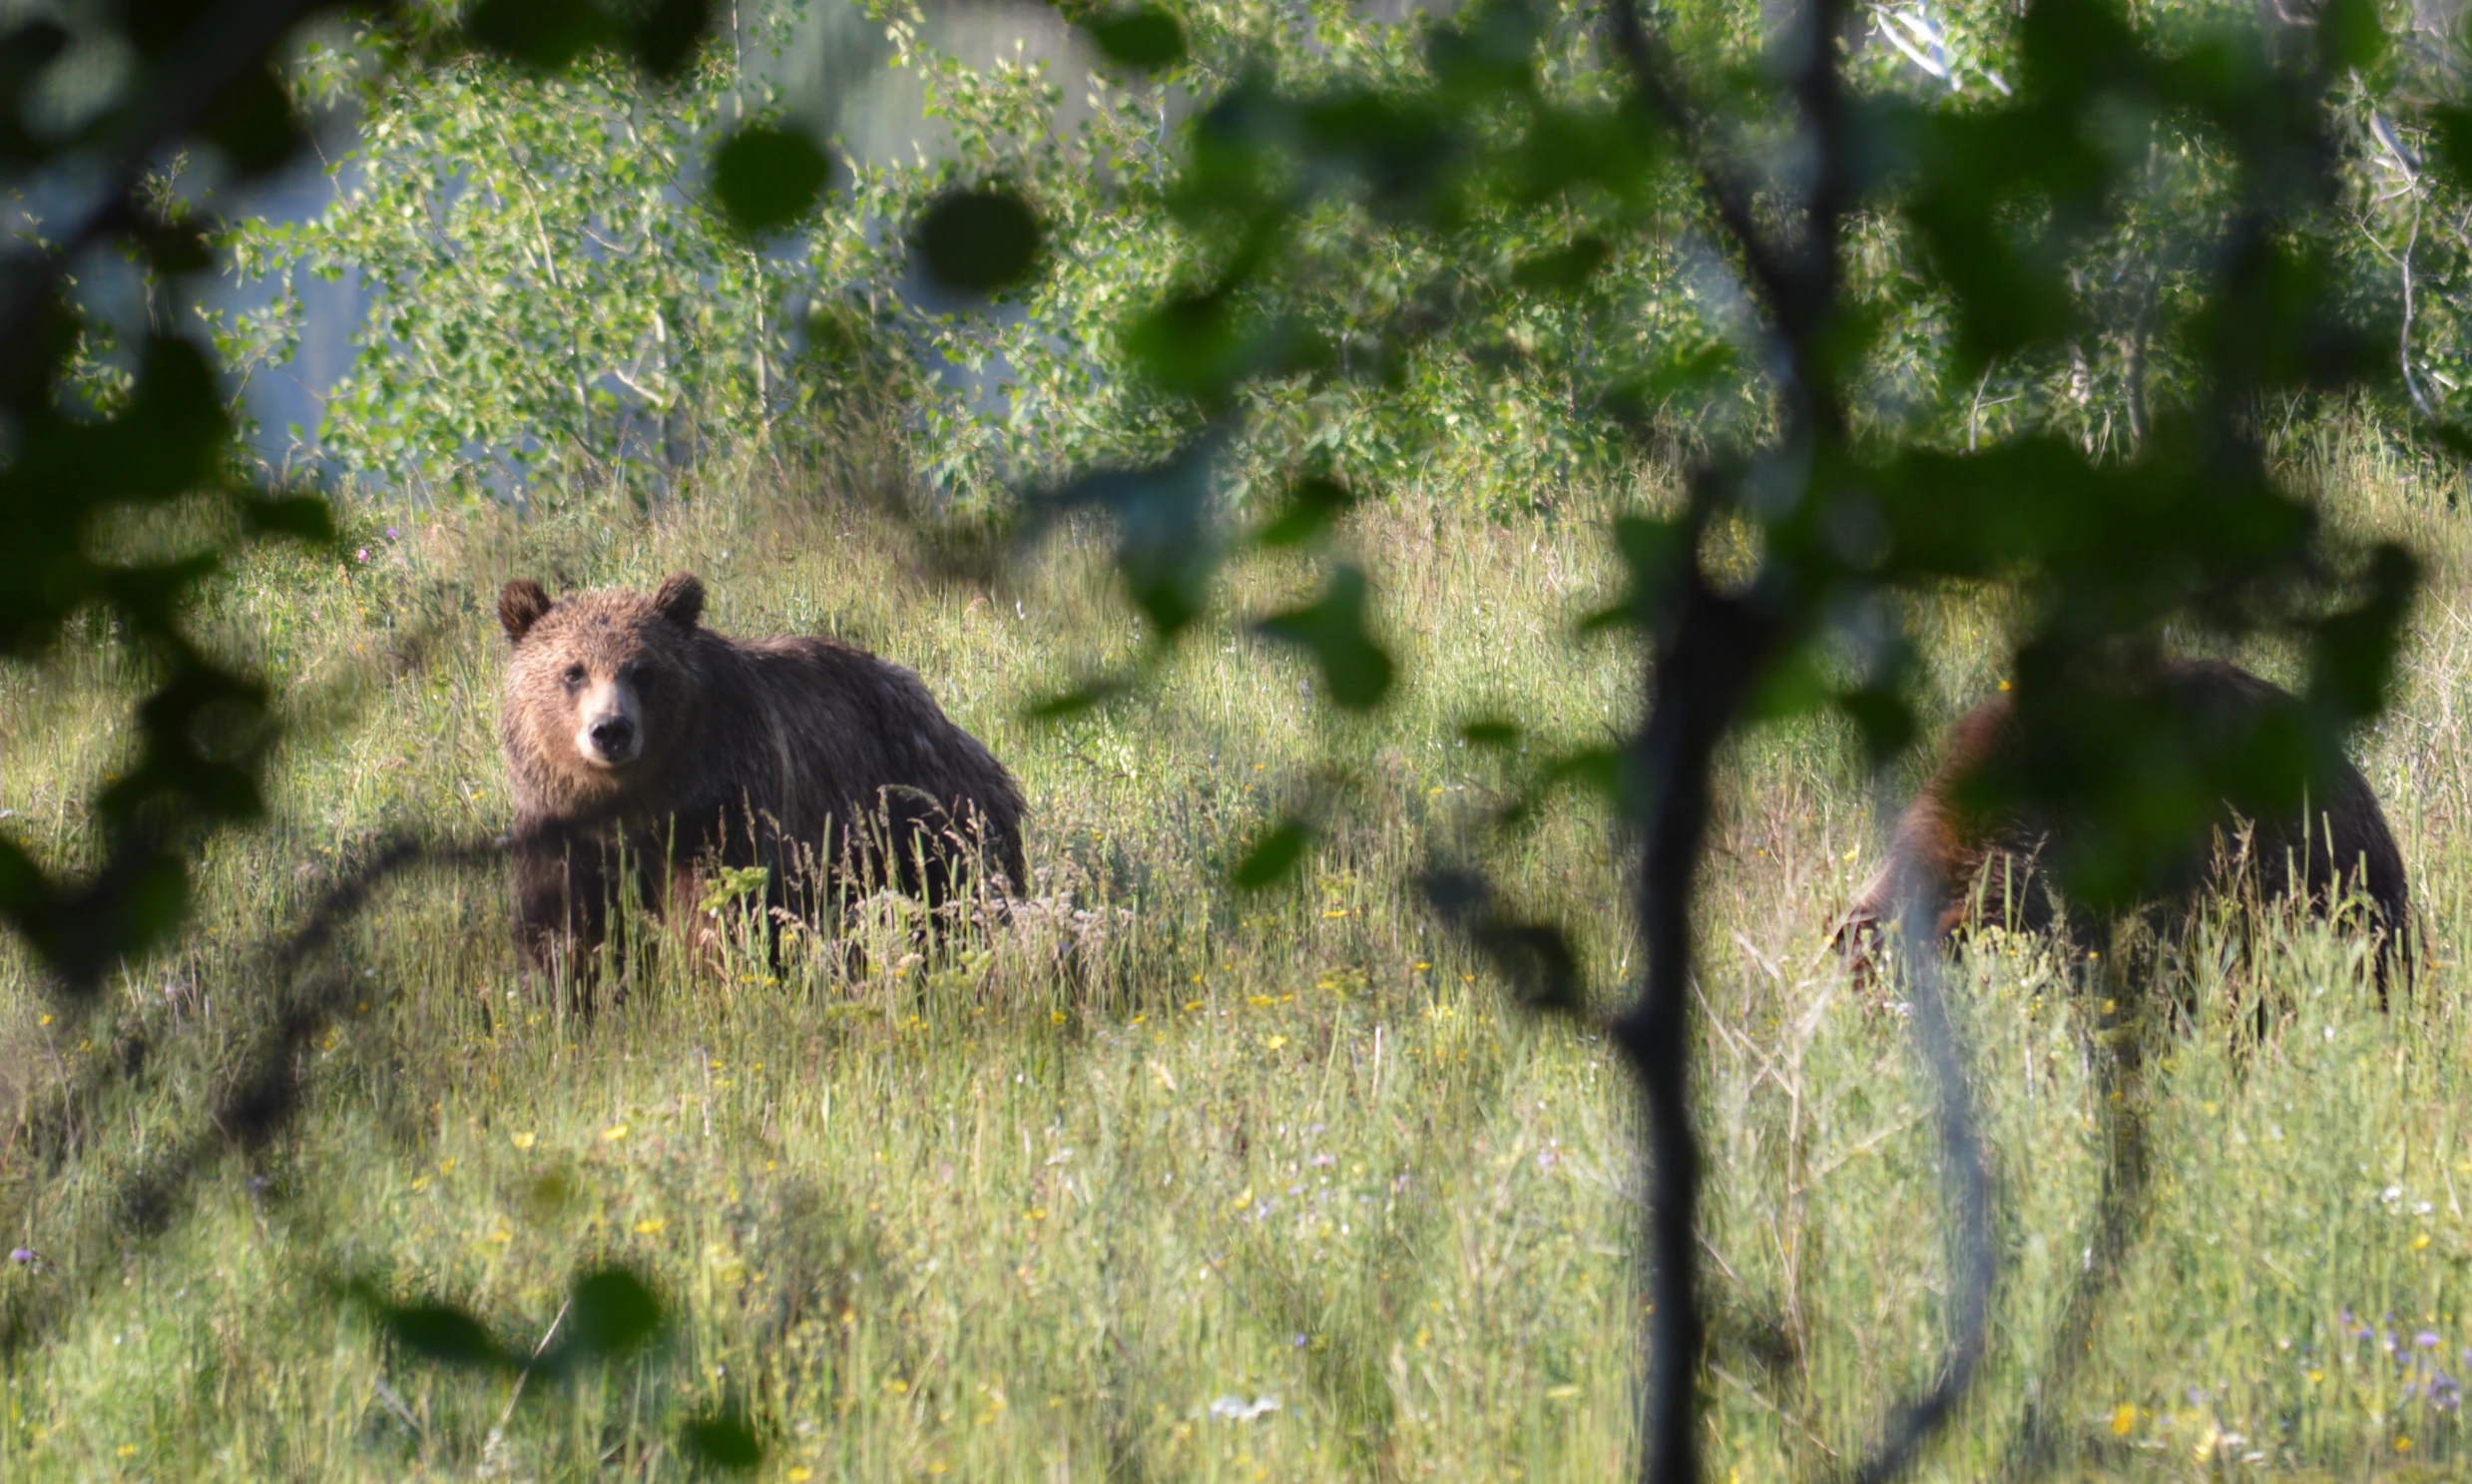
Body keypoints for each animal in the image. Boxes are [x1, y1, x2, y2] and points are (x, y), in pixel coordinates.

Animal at [496, 571, 1018, 974]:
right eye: (574, 671)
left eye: (643, 671)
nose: (610, 730)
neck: (635, 807)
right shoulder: (562, 828)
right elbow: (566, 929)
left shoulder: (724, 811)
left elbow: (721, 913)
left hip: (921, 813)